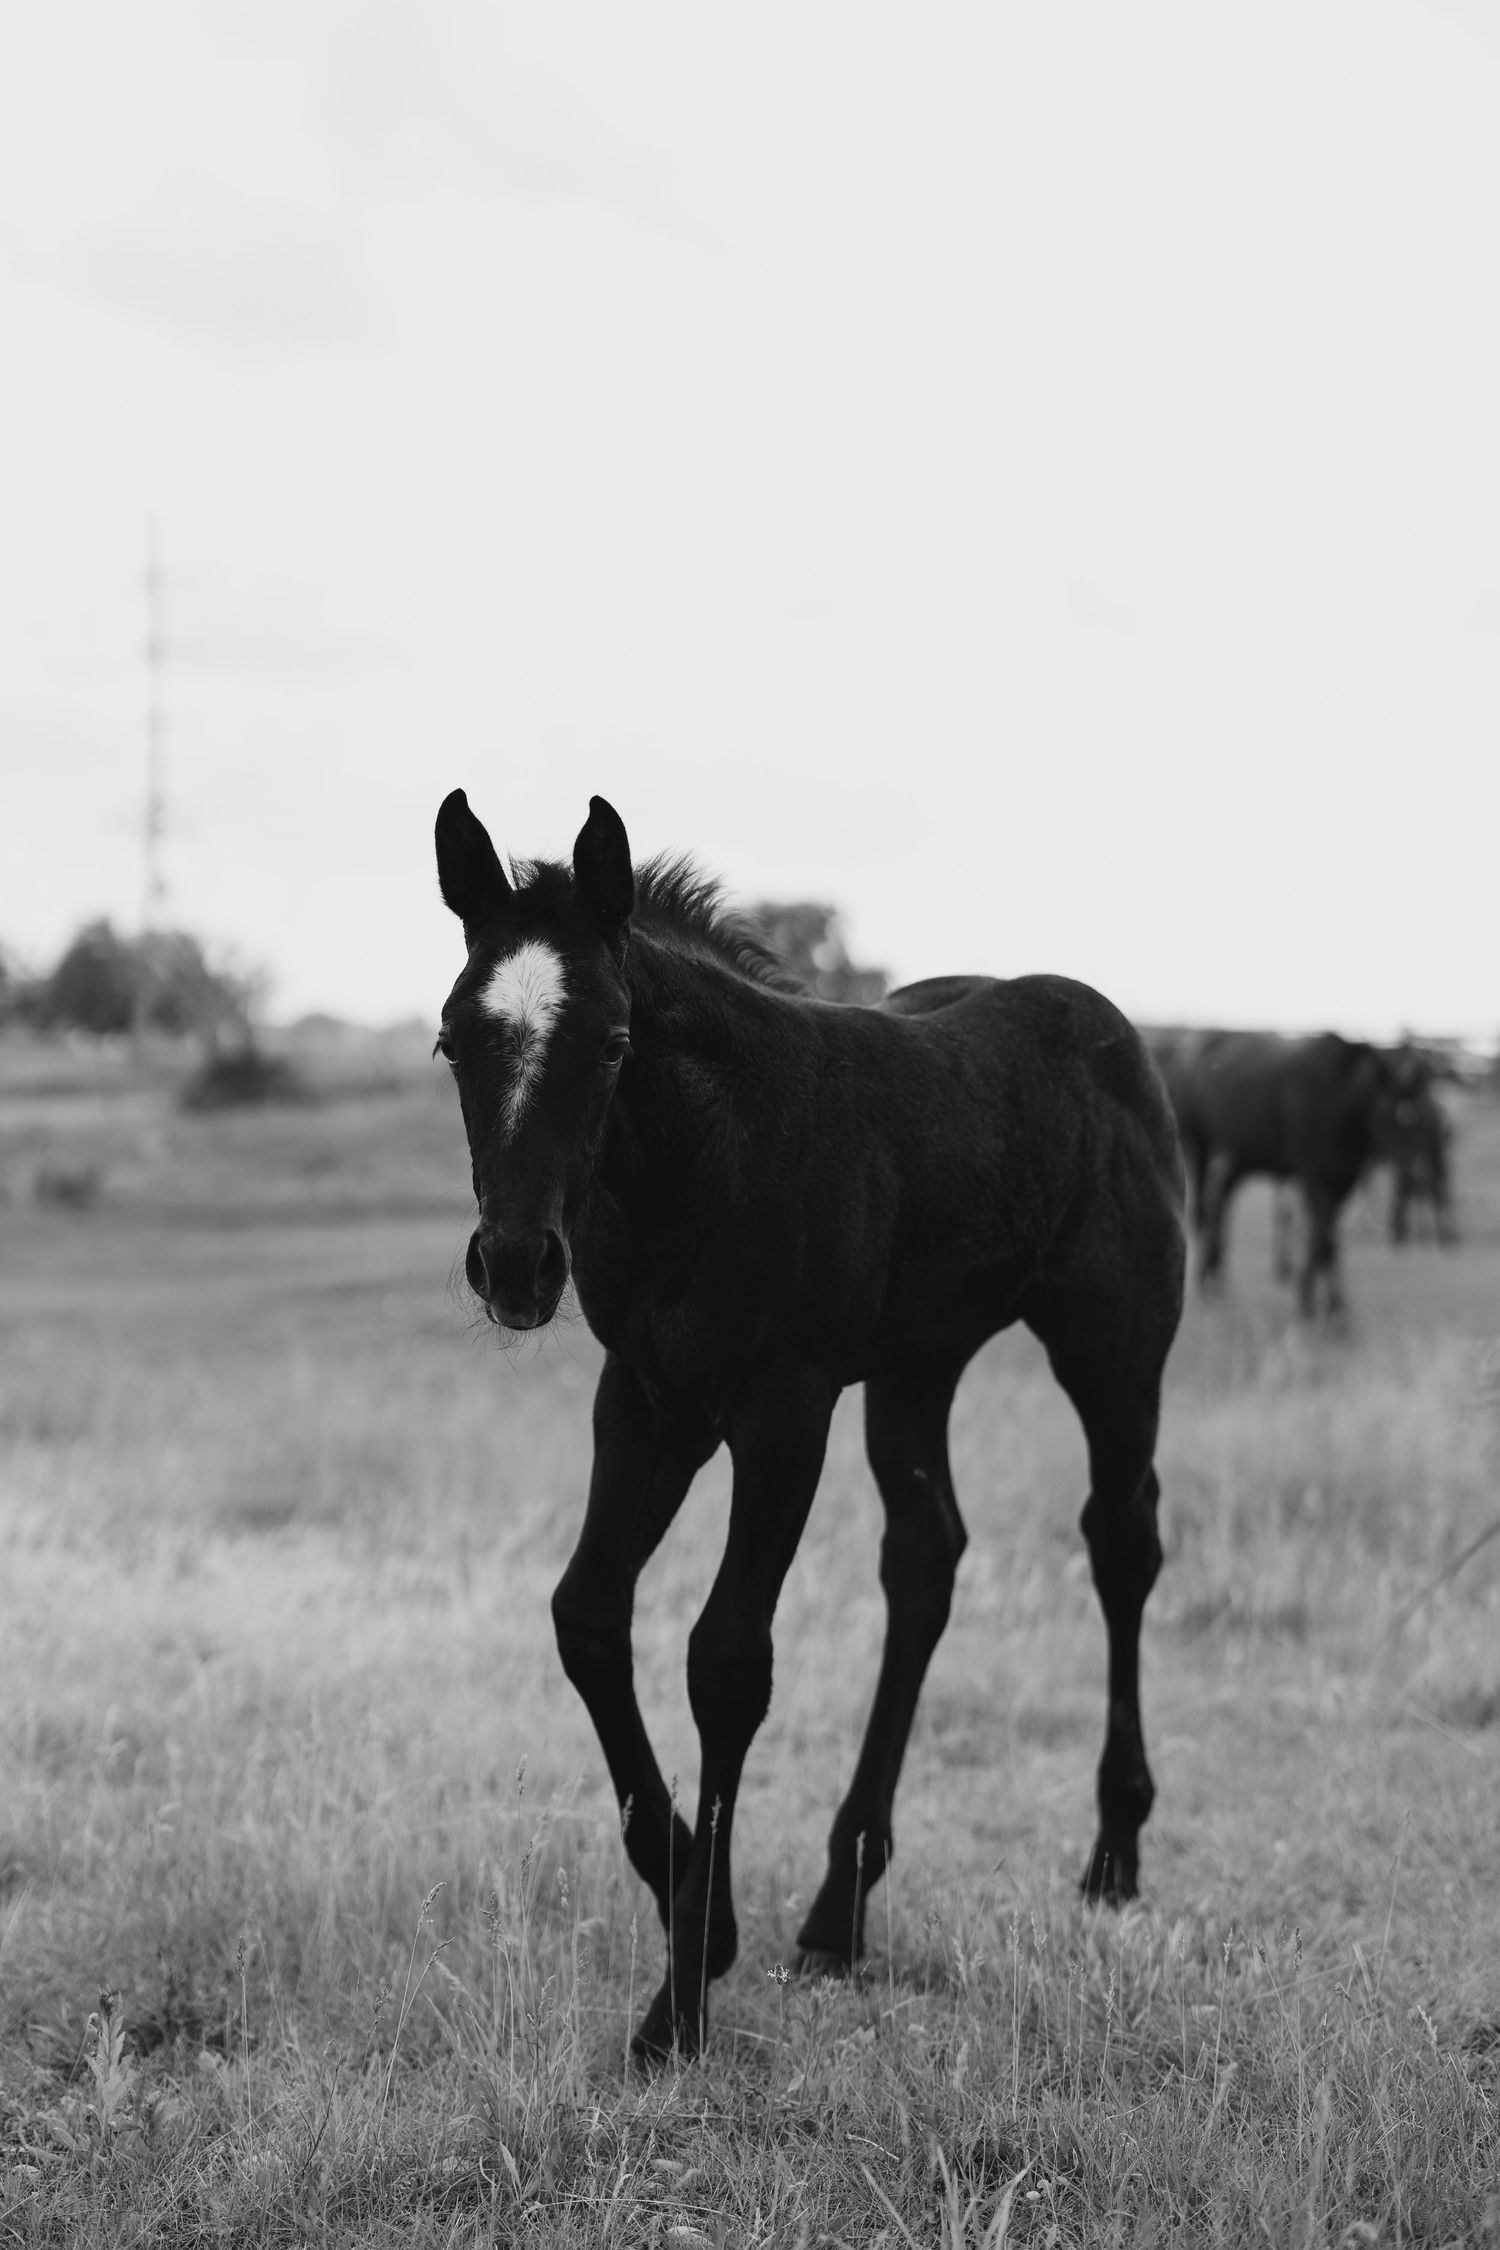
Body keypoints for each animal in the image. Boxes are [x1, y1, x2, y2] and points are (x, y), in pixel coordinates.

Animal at [433, 790, 1186, 2062]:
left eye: (616, 1044)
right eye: (451, 1041)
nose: (520, 1266)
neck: (704, 1161)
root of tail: (1111, 1032)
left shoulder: (783, 1408)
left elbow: (728, 1659)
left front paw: (681, 1998)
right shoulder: (647, 1399)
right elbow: (586, 1616)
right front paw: (699, 1904)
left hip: (1114, 1350)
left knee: (1122, 1541)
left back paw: (1114, 1855)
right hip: (919, 1366)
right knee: (926, 1559)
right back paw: (841, 1910)